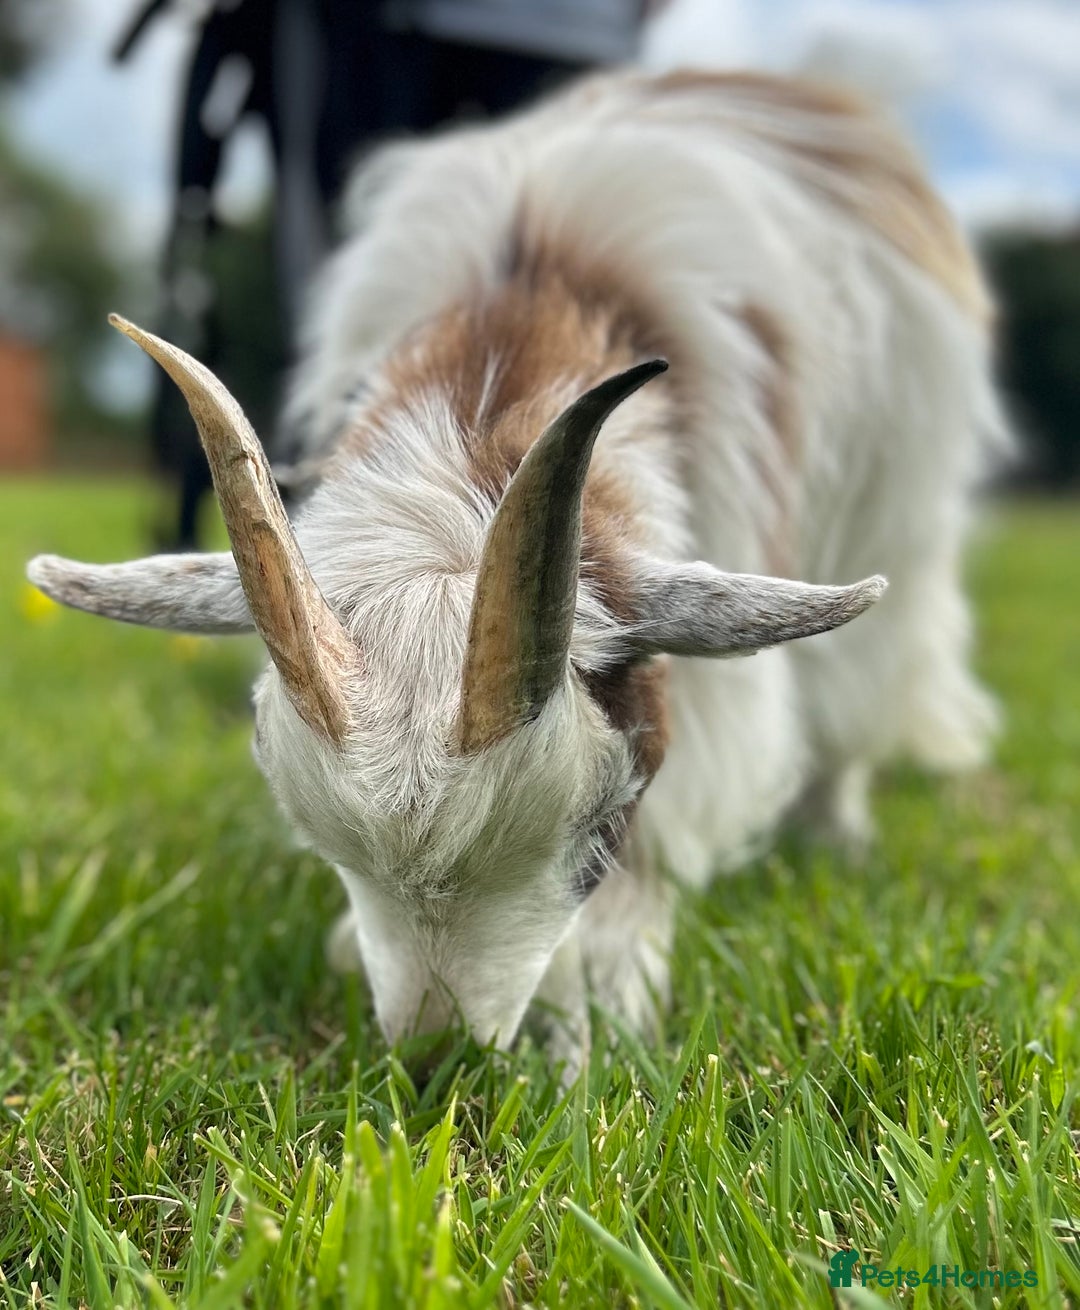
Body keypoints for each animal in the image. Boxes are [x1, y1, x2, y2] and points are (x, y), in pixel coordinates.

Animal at [28, 69, 1004, 1059]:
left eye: (603, 826)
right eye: (330, 848)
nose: (435, 1054)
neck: (539, 284)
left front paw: (604, 995)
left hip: (899, 505)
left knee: (868, 677)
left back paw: (838, 830)